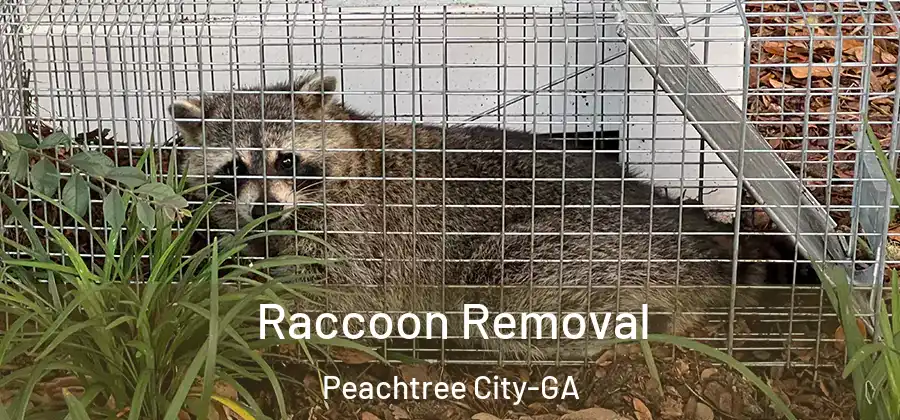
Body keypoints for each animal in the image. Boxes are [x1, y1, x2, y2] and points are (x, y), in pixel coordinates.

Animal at [168, 73, 814, 361]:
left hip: (580, 249)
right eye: (234, 168)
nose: (265, 207)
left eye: (286, 159)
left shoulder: (364, 235)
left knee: (509, 286)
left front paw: (241, 305)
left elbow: (338, 294)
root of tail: (694, 237)